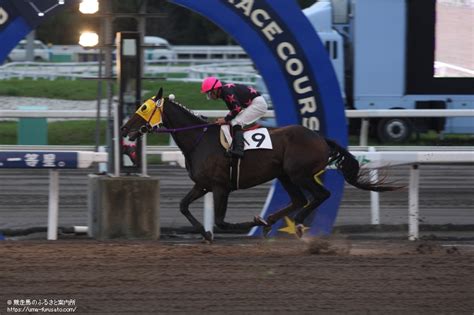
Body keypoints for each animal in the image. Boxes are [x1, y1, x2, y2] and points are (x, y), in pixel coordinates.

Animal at [122, 89, 400, 242]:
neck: (199, 139)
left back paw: (295, 223)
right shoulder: (203, 185)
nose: (125, 129)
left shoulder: (220, 187)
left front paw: (249, 224)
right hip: (286, 175)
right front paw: (205, 233)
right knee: (300, 199)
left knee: (321, 195)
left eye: (143, 107)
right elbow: (182, 206)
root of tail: (321, 138)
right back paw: (272, 222)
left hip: (299, 173)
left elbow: (222, 222)